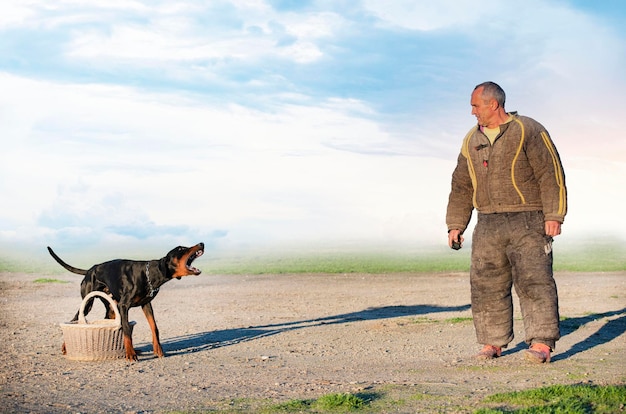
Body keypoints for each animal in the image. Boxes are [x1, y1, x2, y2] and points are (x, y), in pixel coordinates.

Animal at [49, 243, 205, 360]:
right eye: (180, 249)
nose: (201, 243)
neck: (151, 274)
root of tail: (89, 270)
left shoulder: (146, 305)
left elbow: (154, 327)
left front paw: (158, 350)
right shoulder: (124, 306)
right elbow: (126, 329)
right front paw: (130, 354)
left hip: (111, 308)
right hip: (88, 303)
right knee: (74, 319)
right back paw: (65, 347)